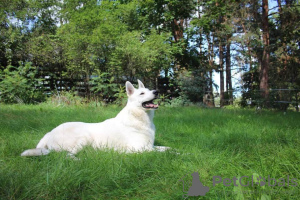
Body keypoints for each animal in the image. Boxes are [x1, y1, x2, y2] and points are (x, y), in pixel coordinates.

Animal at [21, 80, 169, 157]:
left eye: (150, 90)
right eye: (142, 93)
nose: (156, 91)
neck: (138, 117)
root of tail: (49, 133)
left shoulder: (150, 146)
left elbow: (167, 148)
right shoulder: (139, 149)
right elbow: (163, 152)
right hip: (84, 137)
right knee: (68, 156)